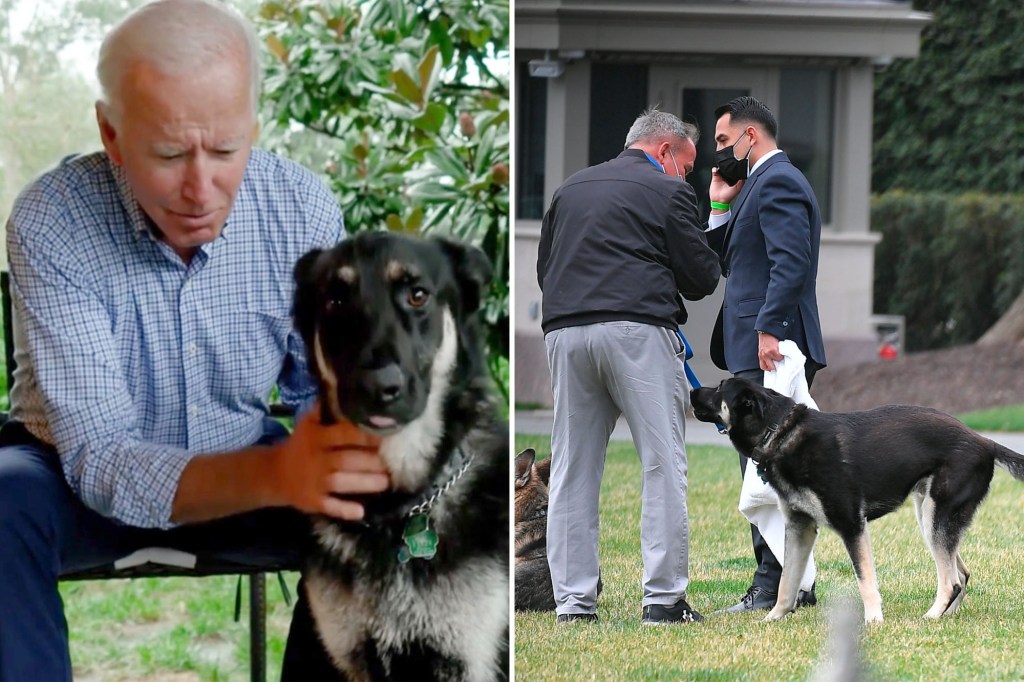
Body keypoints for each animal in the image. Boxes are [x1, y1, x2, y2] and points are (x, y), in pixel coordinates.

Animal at [688, 376, 1024, 622]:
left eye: (719, 387)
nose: (691, 390)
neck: (780, 432)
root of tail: (986, 441)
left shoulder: (852, 526)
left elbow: (865, 580)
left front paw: (874, 620)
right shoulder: (799, 529)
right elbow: (787, 583)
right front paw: (774, 618)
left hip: (935, 518)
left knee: (951, 580)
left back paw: (931, 616)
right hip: (930, 517)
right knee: (961, 574)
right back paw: (945, 617)